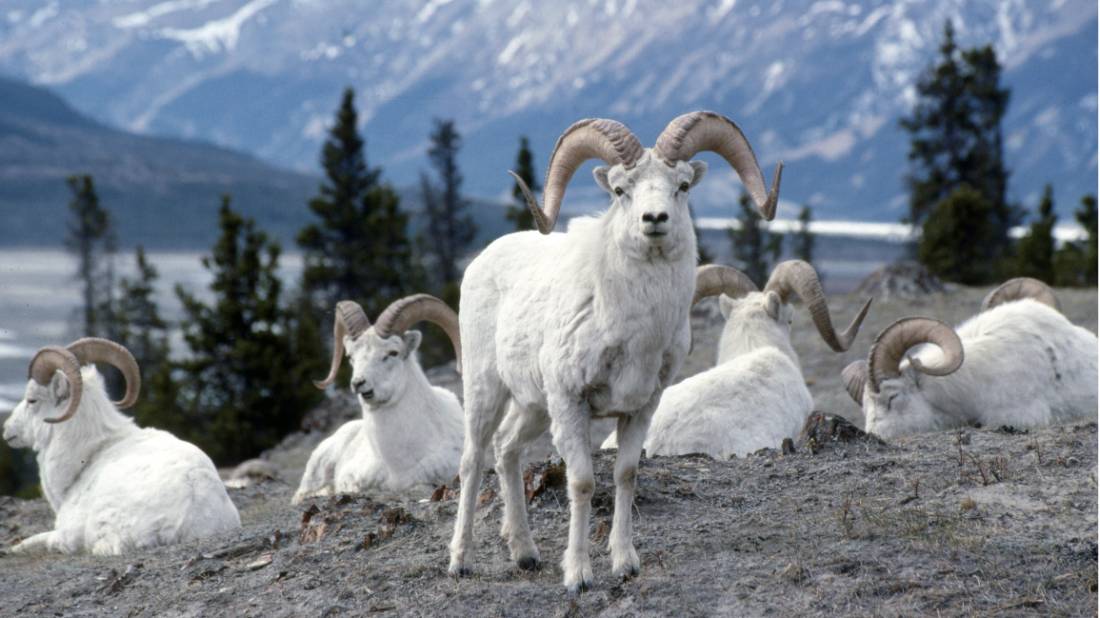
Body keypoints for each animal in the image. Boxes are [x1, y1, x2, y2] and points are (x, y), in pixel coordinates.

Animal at [446, 111, 783, 593]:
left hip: (534, 407)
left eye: (682, 185)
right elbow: (583, 483)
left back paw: (525, 554)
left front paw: (625, 564)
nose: (654, 218)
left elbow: (626, 475)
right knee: (473, 460)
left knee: (506, 450)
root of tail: (482, 260)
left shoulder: (639, 408)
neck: (632, 328)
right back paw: (460, 561)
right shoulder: (572, 403)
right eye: (621, 190)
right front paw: (578, 575)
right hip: (485, 390)